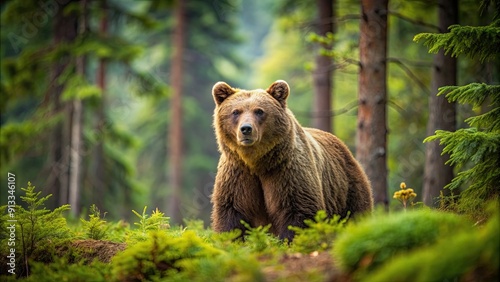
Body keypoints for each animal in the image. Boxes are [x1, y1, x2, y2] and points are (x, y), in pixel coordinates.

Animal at [209, 79, 374, 240]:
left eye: (259, 111)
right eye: (236, 112)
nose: (246, 129)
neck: (257, 162)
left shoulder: (286, 171)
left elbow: (298, 211)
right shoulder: (238, 174)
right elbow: (232, 213)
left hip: (347, 189)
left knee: (356, 214)